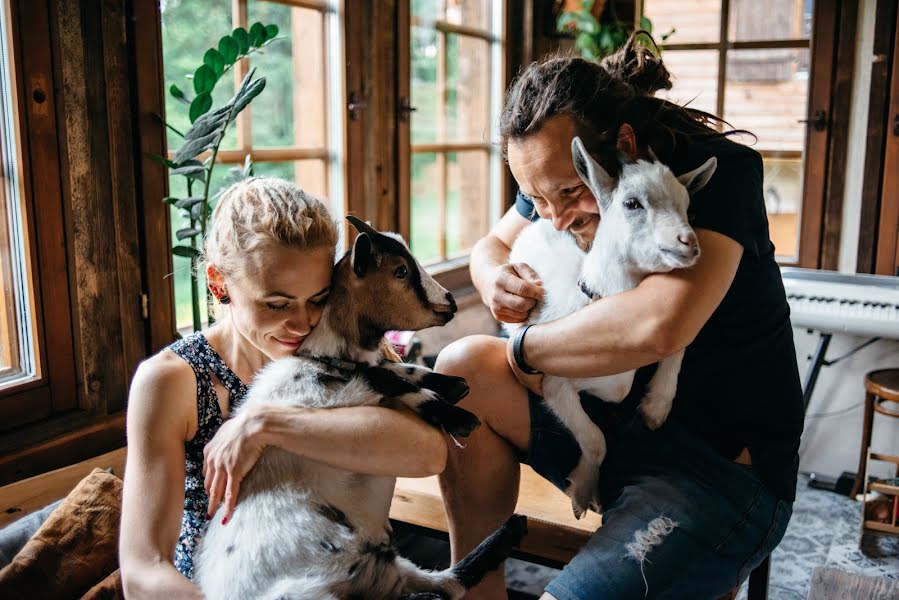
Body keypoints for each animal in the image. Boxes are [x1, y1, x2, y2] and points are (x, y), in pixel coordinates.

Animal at [192, 217, 524, 600]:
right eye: (400, 271)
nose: (450, 301)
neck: (324, 357)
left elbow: (396, 368)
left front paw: (454, 384)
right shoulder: (344, 392)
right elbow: (394, 382)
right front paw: (460, 415)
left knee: (446, 582)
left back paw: (513, 529)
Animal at [510, 138, 712, 516]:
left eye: (687, 205)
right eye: (632, 203)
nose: (688, 243)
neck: (594, 296)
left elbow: (676, 345)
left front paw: (655, 409)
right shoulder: (553, 382)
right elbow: (596, 438)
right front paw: (583, 493)